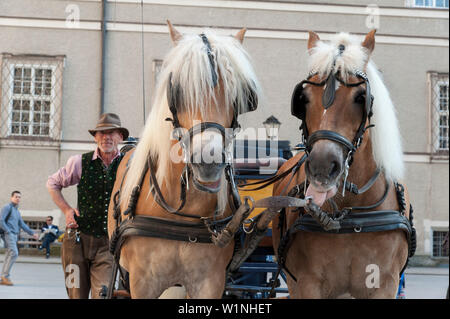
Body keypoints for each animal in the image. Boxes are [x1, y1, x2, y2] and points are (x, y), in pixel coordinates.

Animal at [107, 22, 262, 300]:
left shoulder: (210, 282)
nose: (208, 161)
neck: (183, 215)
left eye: (240, 95)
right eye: (178, 90)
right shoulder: (142, 282)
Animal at [270, 30, 414, 300]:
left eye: (360, 98)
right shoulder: (307, 284)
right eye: (304, 98)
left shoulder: (385, 284)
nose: (322, 166)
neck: (351, 214)